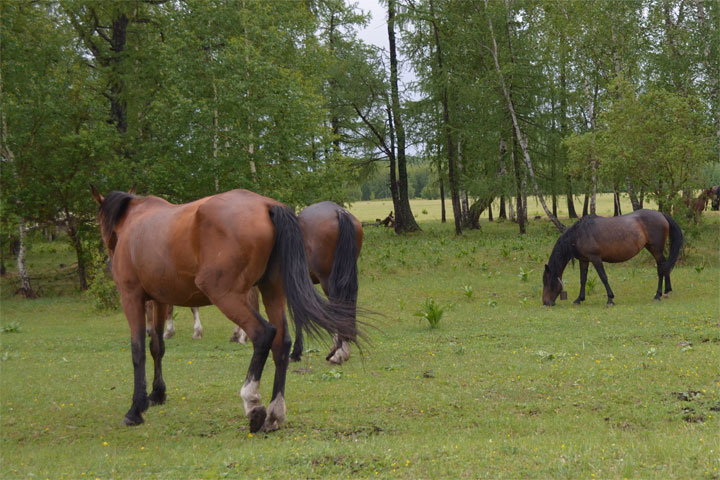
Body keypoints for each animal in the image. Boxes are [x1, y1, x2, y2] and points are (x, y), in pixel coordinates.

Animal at [544, 210, 684, 308]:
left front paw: (610, 299)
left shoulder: (595, 258)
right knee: (665, 266)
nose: (546, 303)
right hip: (653, 249)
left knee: (661, 268)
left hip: (656, 250)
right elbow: (583, 279)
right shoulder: (584, 260)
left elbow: (603, 277)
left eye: (547, 282)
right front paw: (579, 299)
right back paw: (666, 291)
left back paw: (658, 295)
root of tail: (661, 214)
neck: (579, 234)